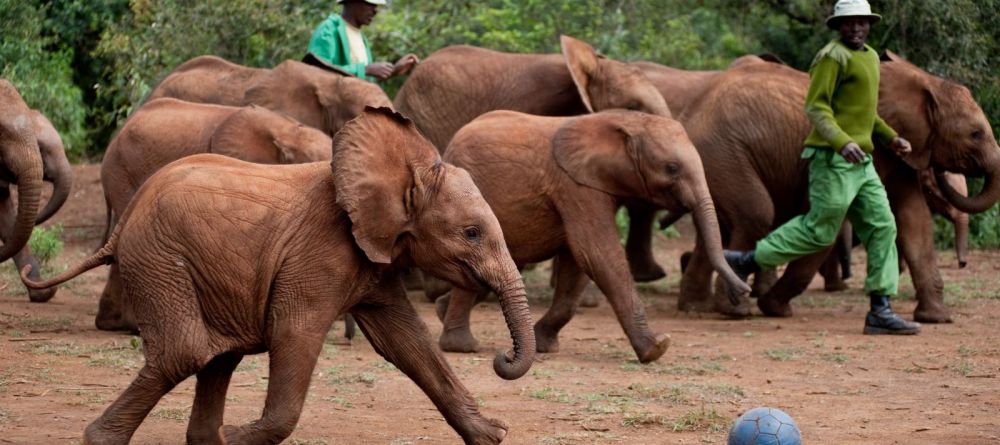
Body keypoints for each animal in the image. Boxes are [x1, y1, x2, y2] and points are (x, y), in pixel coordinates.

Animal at [435, 110, 750, 363]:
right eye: (671, 168)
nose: (743, 292)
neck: (625, 121)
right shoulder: (576, 186)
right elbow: (597, 254)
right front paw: (656, 348)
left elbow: (577, 265)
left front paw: (545, 345)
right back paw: (461, 346)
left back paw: (441, 311)